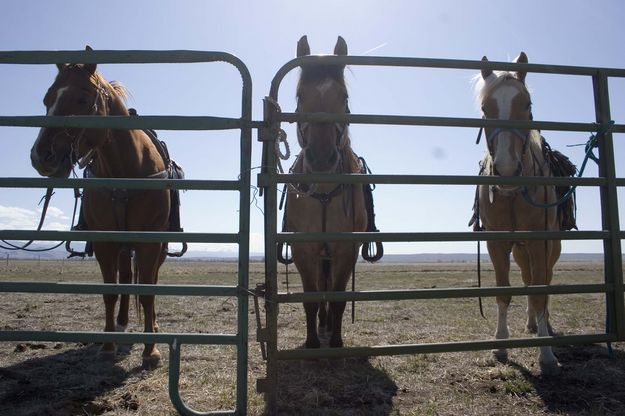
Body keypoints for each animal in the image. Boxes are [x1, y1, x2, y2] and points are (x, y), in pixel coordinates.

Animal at [29, 47, 168, 368]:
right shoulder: (105, 243)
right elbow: (109, 293)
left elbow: (148, 292)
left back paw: (152, 326)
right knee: (126, 279)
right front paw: (107, 345)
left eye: (82, 99)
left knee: (148, 280)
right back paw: (121, 324)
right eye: (47, 99)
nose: (41, 156)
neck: (126, 170)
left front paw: (151, 351)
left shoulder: (150, 242)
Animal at [286, 35, 368, 348]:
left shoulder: (345, 249)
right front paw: (312, 341)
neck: (322, 193)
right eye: (300, 97)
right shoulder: (303, 249)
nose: (321, 158)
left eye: (344, 97)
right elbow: (311, 297)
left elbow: (338, 297)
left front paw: (335, 341)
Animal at [470, 52, 564, 374]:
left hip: (549, 247)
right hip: (521, 249)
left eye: (527, 104)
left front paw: (546, 355)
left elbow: (539, 291)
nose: (507, 169)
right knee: (526, 278)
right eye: (485, 107)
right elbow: (504, 291)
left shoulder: (539, 242)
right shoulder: (497, 243)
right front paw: (500, 346)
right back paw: (532, 324)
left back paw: (544, 326)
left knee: (543, 281)